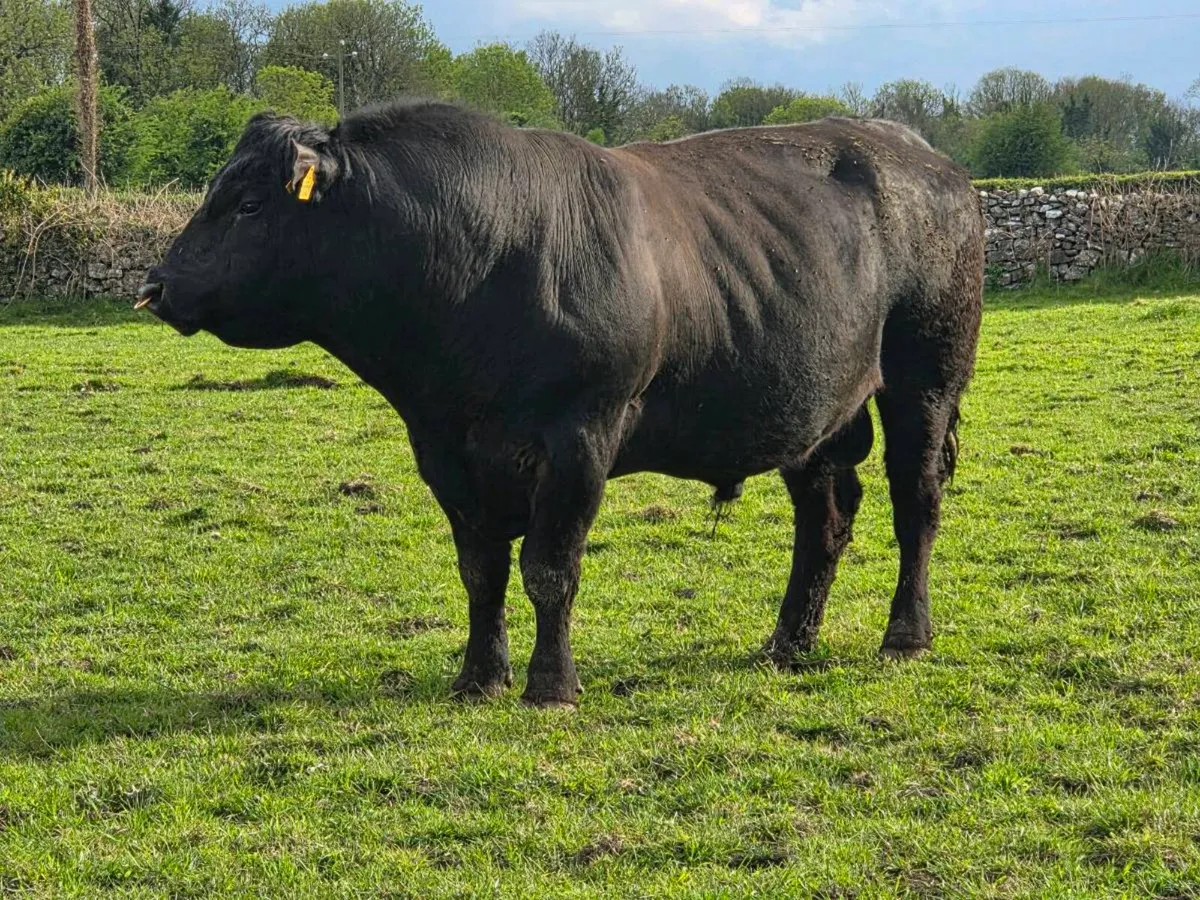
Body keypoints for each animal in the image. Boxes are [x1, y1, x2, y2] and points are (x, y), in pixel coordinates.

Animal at [138, 101, 984, 708]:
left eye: (249, 203)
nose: (156, 283)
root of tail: (916, 151)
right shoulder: (444, 448)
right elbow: (480, 570)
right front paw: (479, 678)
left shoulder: (581, 435)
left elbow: (550, 567)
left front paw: (551, 685)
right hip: (815, 408)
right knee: (826, 518)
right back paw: (788, 643)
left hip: (927, 378)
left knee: (917, 503)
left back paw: (905, 634)